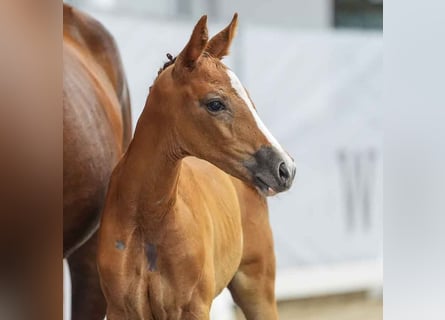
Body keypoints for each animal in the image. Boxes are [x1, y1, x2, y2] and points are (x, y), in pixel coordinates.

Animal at [97, 14, 294, 320]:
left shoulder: (193, 308)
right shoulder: (121, 310)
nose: (285, 168)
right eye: (215, 103)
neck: (148, 218)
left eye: (250, 99)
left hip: (257, 288)